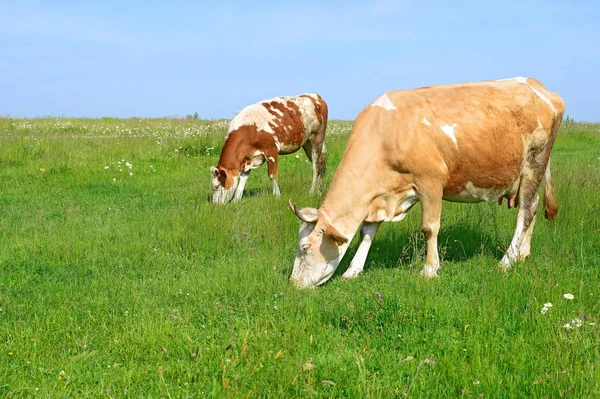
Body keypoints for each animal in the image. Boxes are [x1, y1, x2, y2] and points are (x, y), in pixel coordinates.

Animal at [288, 78, 564, 290]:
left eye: (304, 247)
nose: (293, 284)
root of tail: (537, 85)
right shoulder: (380, 195)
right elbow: (367, 231)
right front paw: (353, 270)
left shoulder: (430, 181)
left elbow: (429, 228)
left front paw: (430, 269)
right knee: (533, 207)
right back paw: (522, 255)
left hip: (534, 162)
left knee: (525, 212)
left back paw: (507, 261)